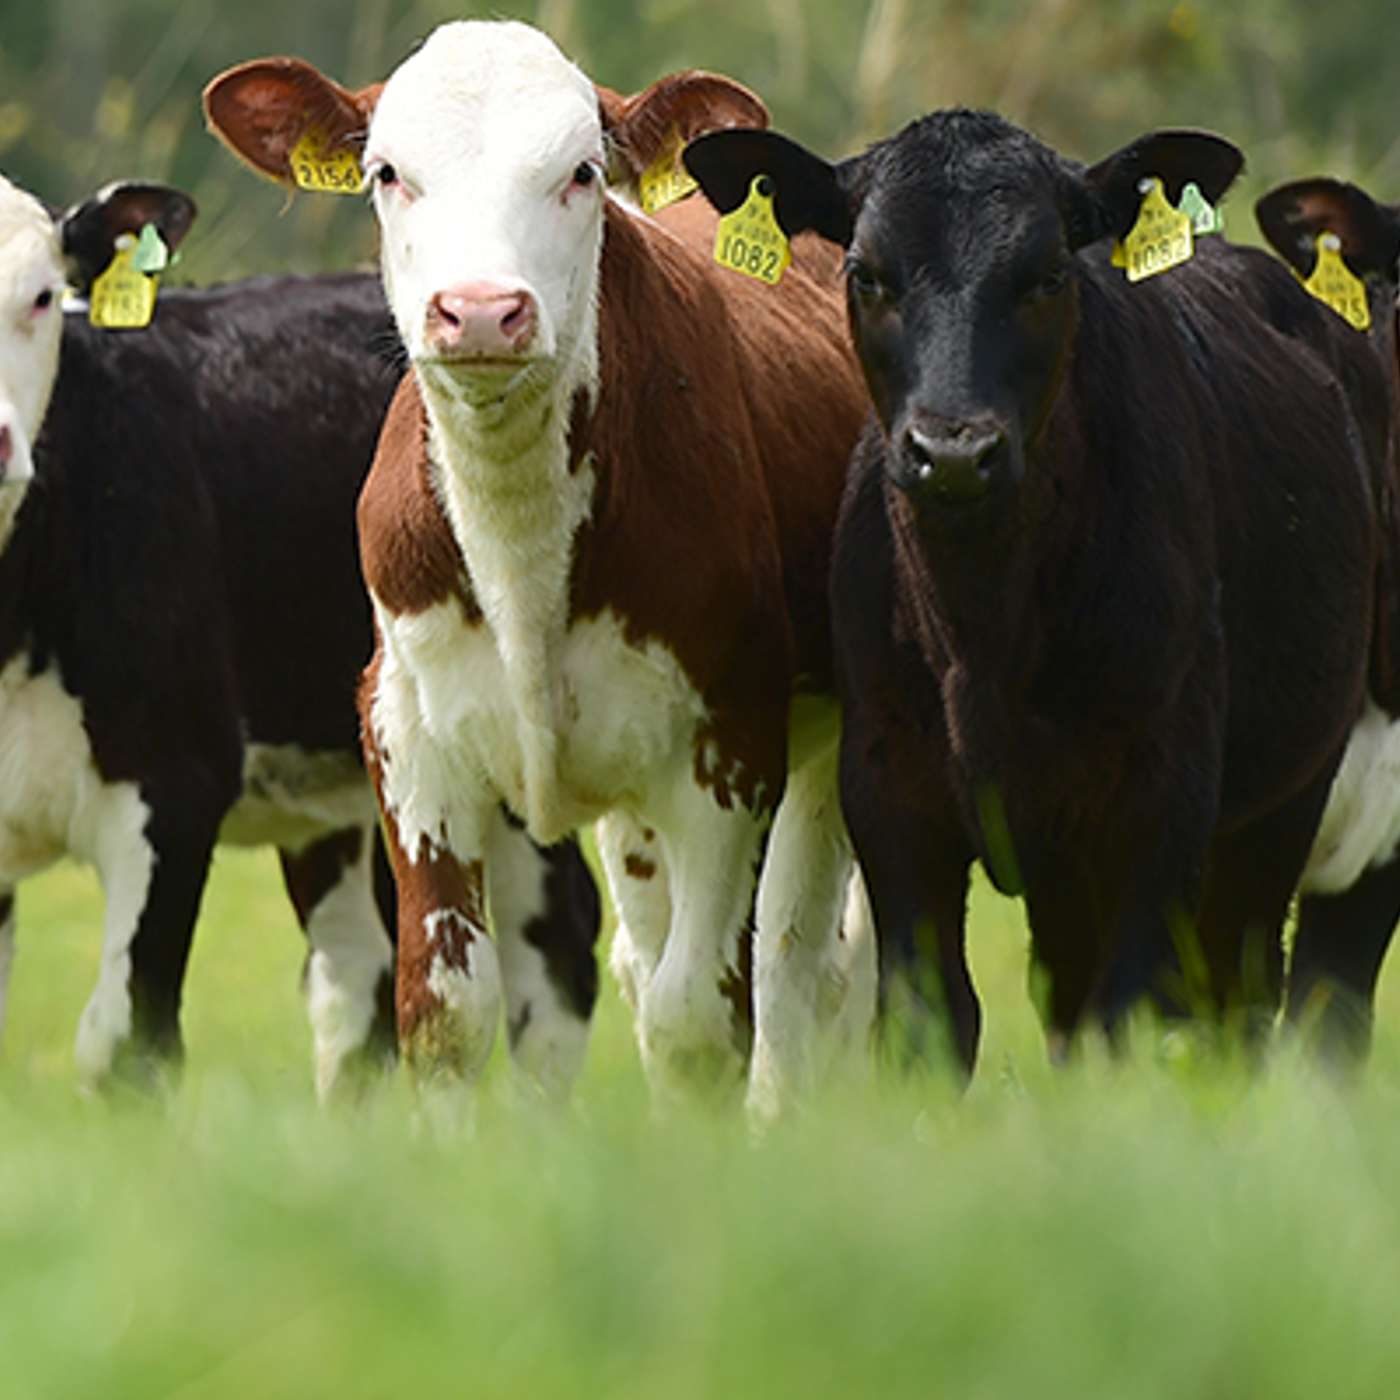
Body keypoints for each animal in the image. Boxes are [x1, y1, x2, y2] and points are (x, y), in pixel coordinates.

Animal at [202, 21, 874, 1116]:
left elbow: (700, 1018)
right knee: (654, 958)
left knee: (798, 968)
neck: (522, 549)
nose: (479, 311)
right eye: (388, 173)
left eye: (581, 172)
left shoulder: (730, 743)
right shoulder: (406, 731)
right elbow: (444, 1006)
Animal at [684, 111, 1392, 1071]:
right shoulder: (892, 796)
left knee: (1245, 996)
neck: (984, 632)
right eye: (866, 273)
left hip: (1286, 800)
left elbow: (1128, 1016)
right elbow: (934, 1019)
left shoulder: (1160, 805)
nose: (952, 451)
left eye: (1050, 274)